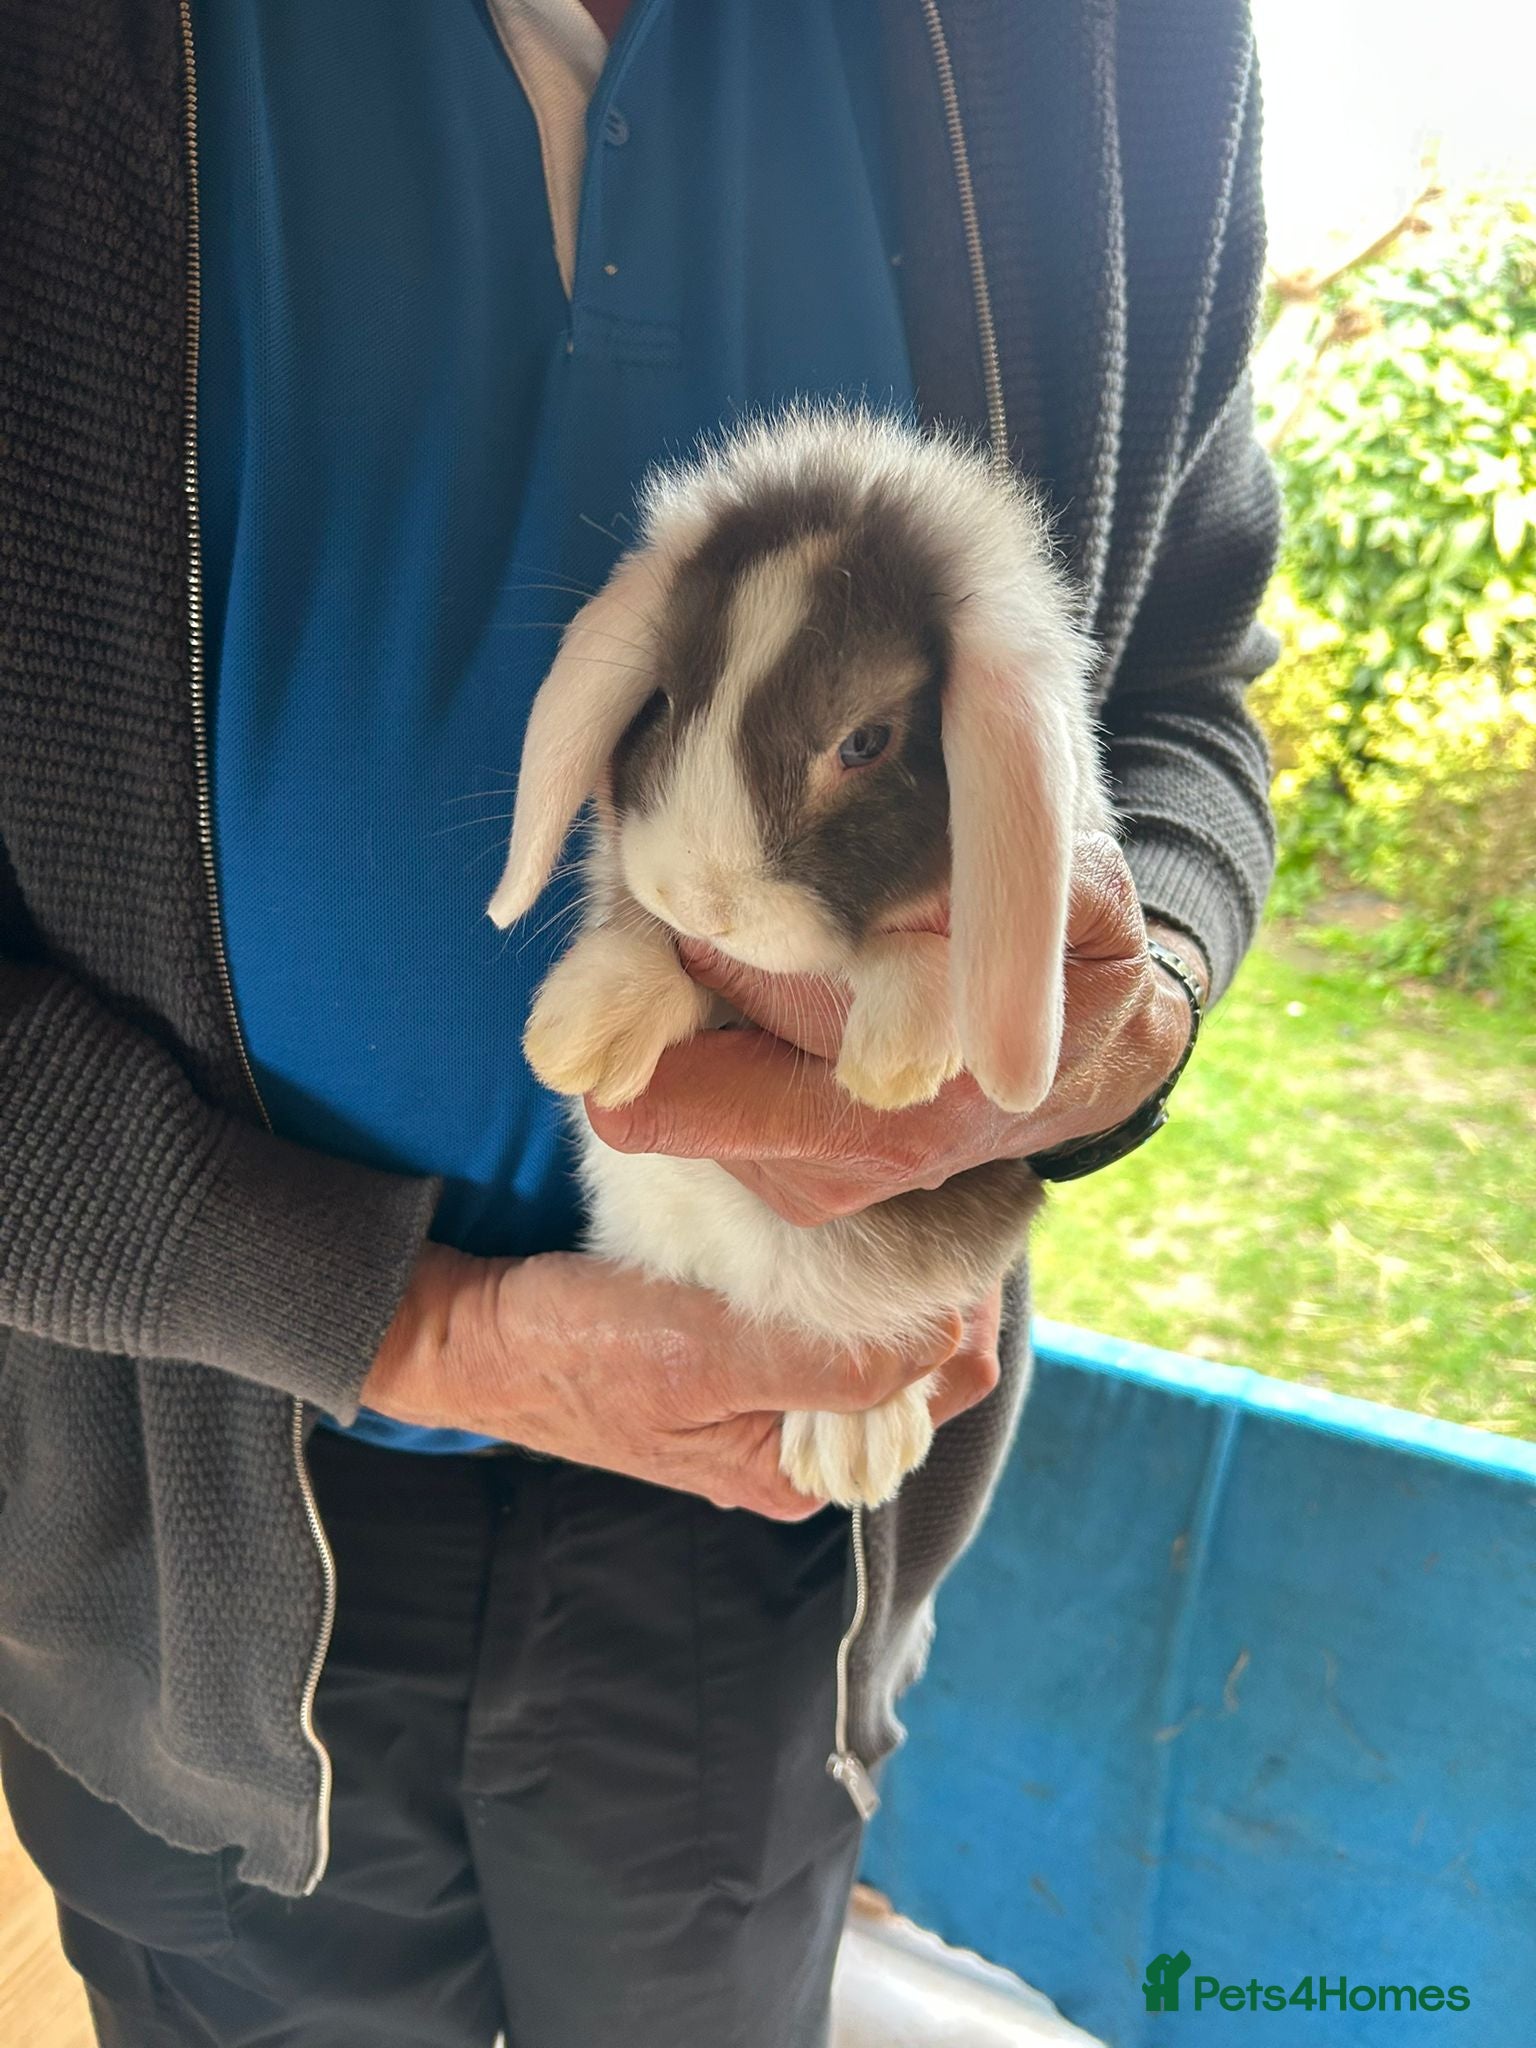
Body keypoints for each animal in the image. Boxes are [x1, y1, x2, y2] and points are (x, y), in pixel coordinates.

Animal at [488, 407, 1112, 1509]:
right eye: (666, 699)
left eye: (864, 741)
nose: (699, 899)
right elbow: (665, 969)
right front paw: (584, 1028)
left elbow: (908, 966)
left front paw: (899, 1052)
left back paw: (856, 1440)